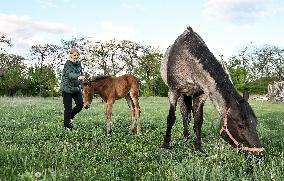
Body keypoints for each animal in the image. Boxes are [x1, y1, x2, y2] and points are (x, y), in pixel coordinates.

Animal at [160, 26, 264, 154]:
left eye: (255, 123)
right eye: (240, 125)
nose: (259, 155)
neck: (187, 61)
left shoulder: (201, 94)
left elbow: (198, 120)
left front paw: (198, 147)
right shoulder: (173, 91)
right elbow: (171, 118)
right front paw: (165, 145)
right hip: (181, 95)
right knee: (184, 114)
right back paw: (186, 137)